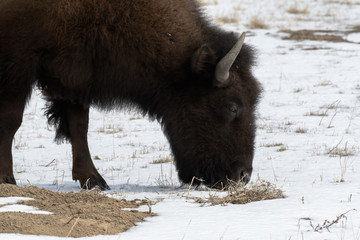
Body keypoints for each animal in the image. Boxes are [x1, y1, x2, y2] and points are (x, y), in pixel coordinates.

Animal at [0, 0, 260, 190]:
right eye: (232, 106)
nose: (242, 175)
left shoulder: (76, 72)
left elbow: (79, 125)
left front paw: (94, 181)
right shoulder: (18, 64)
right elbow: (11, 121)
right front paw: (6, 179)